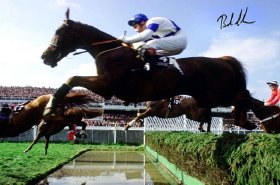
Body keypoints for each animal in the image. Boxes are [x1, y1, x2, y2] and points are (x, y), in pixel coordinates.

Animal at [41, 8, 256, 130]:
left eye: (59, 32)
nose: (45, 56)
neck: (111, 52)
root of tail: (223, 60)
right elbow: (72, 80)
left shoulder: (107, 86)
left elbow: (72, 79)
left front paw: (50, 109)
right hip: (206, 98)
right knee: (240, 99)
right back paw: (245, 122)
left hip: (220, 94)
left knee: (243, 96)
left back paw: (247, 121)